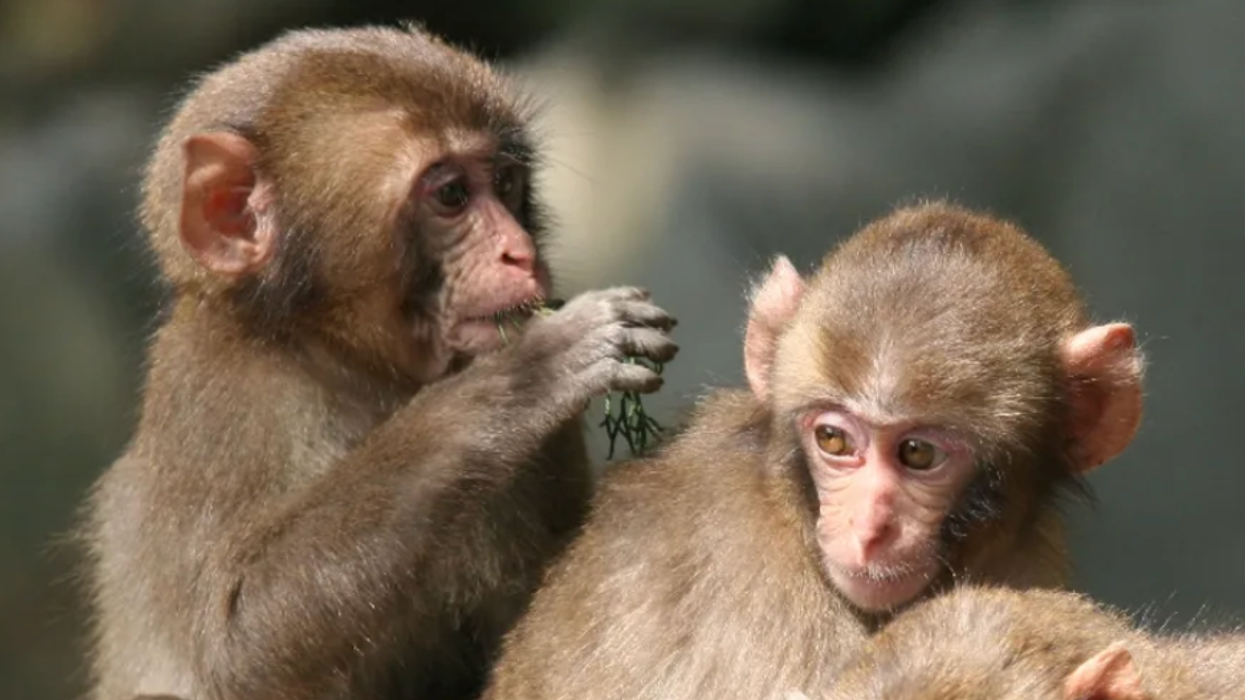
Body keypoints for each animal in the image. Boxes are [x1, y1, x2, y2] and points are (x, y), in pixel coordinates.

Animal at [80, 24, 678, 700]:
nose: (521, 253)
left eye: (505, 182)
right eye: (451, 195)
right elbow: (234, 646)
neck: (353, 362)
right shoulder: (217, 389)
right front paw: (524, 377)